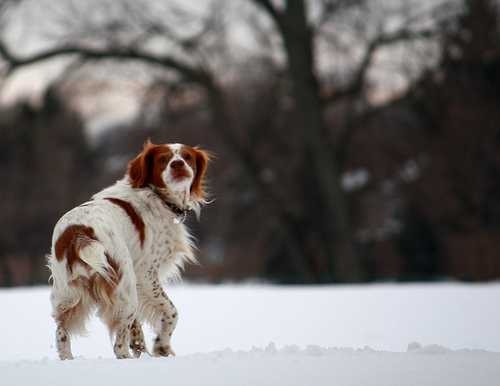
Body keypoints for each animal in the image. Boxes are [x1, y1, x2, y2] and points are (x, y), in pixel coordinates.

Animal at [46, 140, 209, 360]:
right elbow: (171, 312)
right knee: (118, 345)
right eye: (163, 159)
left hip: (67, 295)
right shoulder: (146, 275)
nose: (178, 164)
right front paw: (162, 347)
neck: (156, 195)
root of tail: (80, 232)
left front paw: (142, 347)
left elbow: (137, 326)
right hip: (126, 286)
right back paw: (127, 358)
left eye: (187, 156)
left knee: (61, 332)